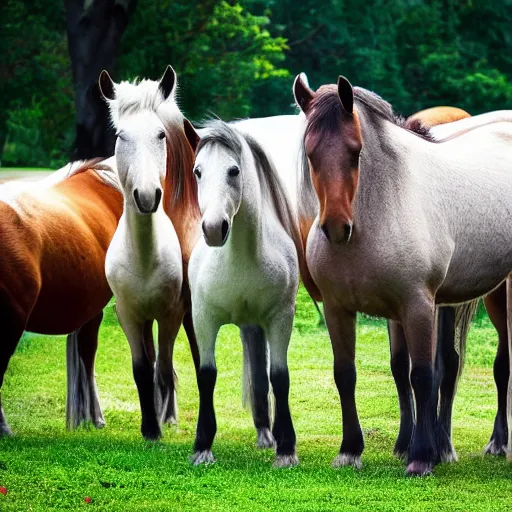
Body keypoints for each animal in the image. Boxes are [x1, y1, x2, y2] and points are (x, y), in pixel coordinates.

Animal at [185, 120, 302, 468]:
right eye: (197, 171)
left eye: (234, 170)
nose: (213, 229)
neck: (241, 259)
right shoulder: (203, 318)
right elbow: (206, 375)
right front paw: (202, 446)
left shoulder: (280, 319)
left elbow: (279, 376)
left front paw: (286, 449)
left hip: (257, 326)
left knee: (263, 377)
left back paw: (269, 434)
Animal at [294, 75, 512, 476]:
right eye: (310, 153)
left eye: (355, 151)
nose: (336, 228)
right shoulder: (340, 309)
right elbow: (348, 373)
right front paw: (351, 450)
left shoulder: (417, 306)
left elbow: (422, 375)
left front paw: (422, 456)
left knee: (500, 364)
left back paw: (496, 443)